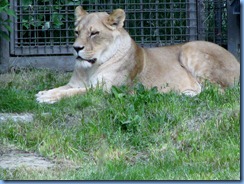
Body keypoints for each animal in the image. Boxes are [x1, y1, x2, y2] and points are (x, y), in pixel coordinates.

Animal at [35, 6, 239, 103]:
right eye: (77, 32)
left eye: (94, 33)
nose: (76, 48)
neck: (89, 68)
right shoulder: (75, 83)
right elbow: (62, 88)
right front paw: (44, 92)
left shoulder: (105, 90)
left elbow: (72, 94)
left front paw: (46, 98)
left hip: (189, 49)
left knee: (218, 92)